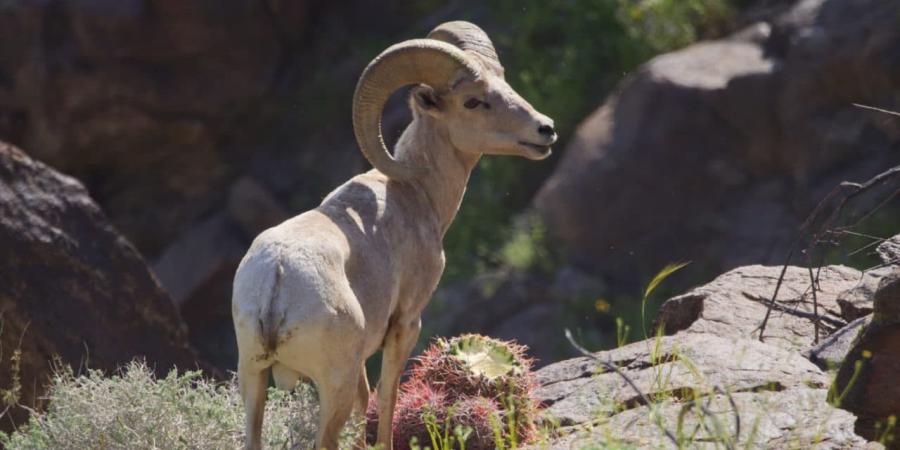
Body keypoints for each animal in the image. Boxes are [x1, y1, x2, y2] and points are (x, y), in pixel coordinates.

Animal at [231, 21, 557, 450]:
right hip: (331, 384)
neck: (416, 194)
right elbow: (387, 398)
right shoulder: (406, 324)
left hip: (253, 378)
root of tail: (277, 280)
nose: (545, 129)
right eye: (472, 101)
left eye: (503, 81)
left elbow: (366, 401)